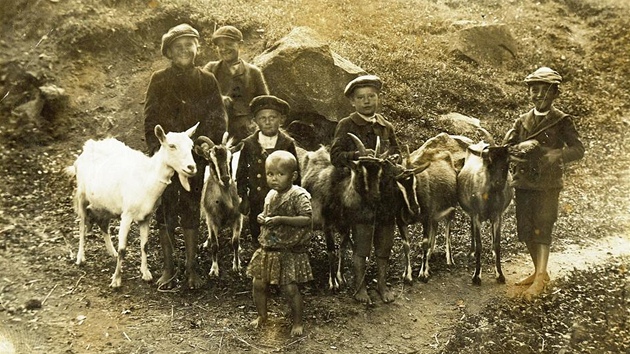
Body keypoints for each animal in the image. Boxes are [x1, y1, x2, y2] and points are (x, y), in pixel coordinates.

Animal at [66, 123, 198, 290]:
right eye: (172, 146)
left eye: (191, 145)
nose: (191, 167)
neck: (147, 178)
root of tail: (89, 146)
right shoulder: (127, 215)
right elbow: (123, 249)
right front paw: (116, 280)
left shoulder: (146, 217)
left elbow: (144, 245)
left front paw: (146, 273)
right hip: (82, 196)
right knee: (82, 227)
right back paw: (80, 258)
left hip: (105, 203)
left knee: (103, 224)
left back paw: (112, 252)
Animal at [196, 132, 243, 276]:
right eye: (211, 161)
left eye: (230, 158)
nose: (226, 179)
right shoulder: (211, 218)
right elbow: (215, 245)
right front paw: (214, 269)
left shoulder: (238, 217)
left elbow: (235, 242)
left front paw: (237, 266)